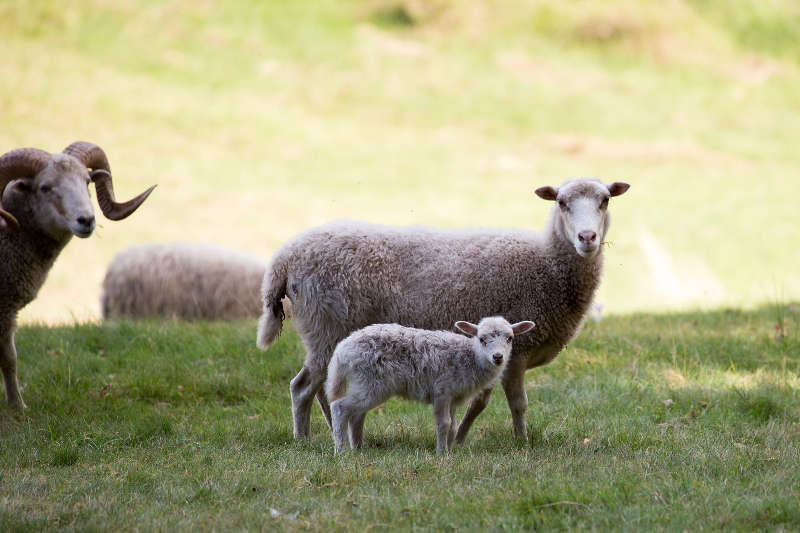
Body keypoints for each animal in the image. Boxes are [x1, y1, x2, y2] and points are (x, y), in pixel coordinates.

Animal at [0, 141, 155, 408]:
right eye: (45, 187)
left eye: (87, 181)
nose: (87, 220)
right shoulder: (5, 309)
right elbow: (10, 358)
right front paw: (17, 407)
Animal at [324, 316, 536, 454]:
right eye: (482, 339)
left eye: (510, 338)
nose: (498, 357)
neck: (470, 357)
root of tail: (342, 350)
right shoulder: (442, 390)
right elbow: (444, 424)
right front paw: (441, 453)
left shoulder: (453, 397)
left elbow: (453, 426)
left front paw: (450, 451)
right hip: (371, 382)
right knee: (340, 407)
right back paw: (341, 451)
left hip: (366, 384)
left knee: (356, 415)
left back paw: (358, 448)